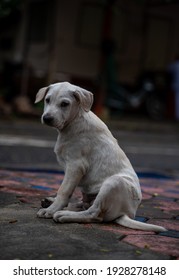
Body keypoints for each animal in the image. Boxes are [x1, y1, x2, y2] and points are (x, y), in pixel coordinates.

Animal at [34, 81, 166, 232]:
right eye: (47, 100)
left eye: (65, 104)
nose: (47, 118)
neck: (74, 121)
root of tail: (128, 213)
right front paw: (52, 204)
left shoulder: (75, 166)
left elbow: (64, 190)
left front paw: (51, 210)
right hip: (90, 193)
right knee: (83, 205)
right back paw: (53, 203)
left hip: (114, 183)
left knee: (94, 213)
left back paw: (63, 214)